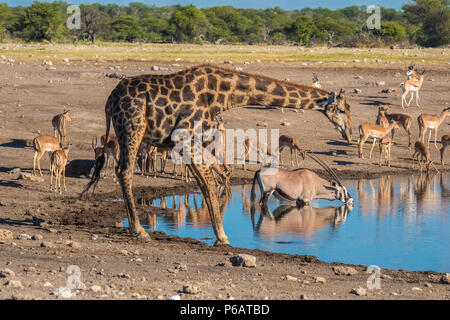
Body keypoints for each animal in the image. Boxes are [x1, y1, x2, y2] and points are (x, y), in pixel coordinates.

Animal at [81, 64, 356, 245]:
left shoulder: (189, 143)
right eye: (342, 109)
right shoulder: (187, 138)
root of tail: (109, 100)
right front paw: (223, 237)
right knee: (124, 171)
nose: (349, 133)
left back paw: (135, 228)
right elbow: (210, 185)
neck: (223, 95)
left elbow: (207, 184)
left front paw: (218, 233)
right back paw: (139, 231)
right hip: (132, 128)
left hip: (126, 131)